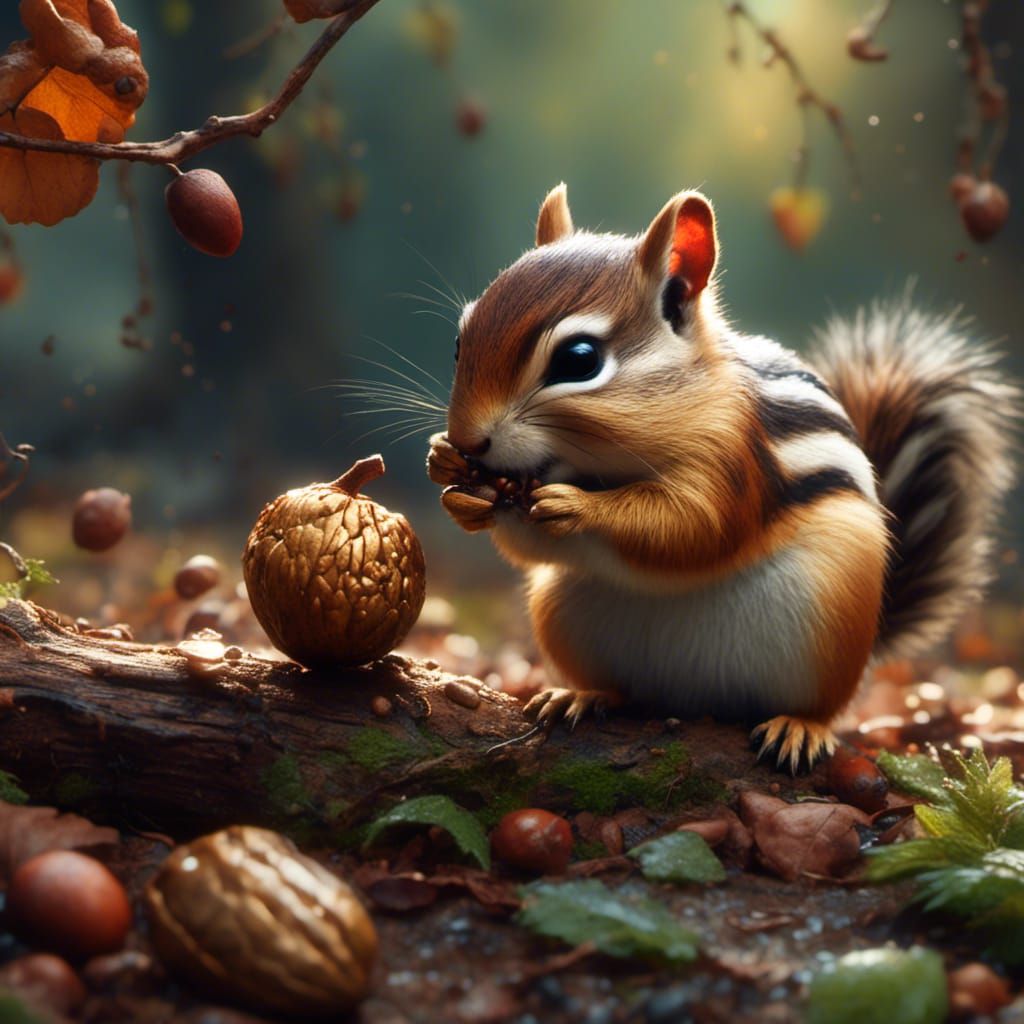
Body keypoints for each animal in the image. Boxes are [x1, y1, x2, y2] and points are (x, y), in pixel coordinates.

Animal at [426, 183, 1018, 771]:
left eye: (579, 359)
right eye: (459, 340)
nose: (468, 440)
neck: (600, 467)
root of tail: (696, 700)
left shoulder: (733, 459)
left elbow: (693, 527)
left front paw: (578, 508)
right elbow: (528, 547)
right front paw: (448, 473)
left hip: (833, 617)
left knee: (826, 706)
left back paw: (799, 727)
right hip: (560, 610)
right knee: (622, 689)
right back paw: (582, 695)